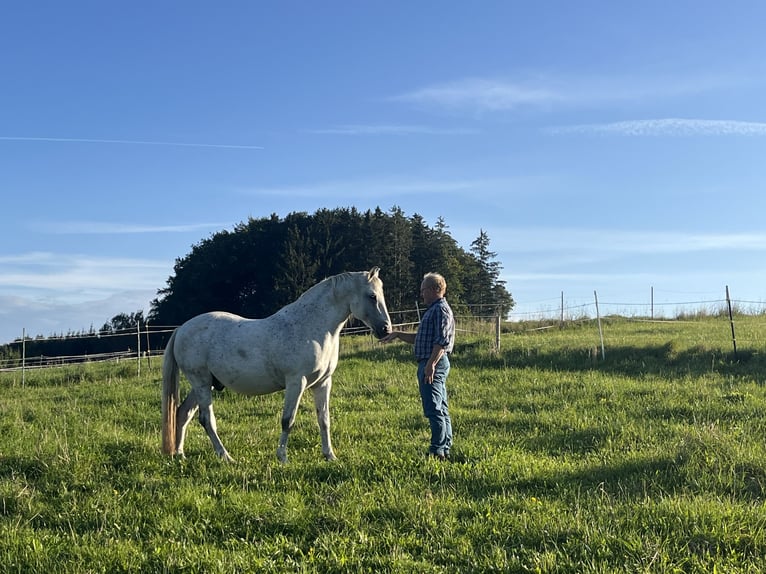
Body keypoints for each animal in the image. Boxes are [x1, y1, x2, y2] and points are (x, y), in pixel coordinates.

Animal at [160, 268, 390, 464]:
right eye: (372, 296)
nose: (385, 329)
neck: (310, 327)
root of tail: (181, 328)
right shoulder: (296, 382)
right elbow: (288, 420)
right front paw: (282, 458)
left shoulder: (323, 383)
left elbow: (324, 420)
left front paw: (330, 456)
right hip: (200, 382)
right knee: (206, 419)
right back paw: (226, 457)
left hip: (204, 384)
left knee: (183, 413)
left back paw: (180, 454)